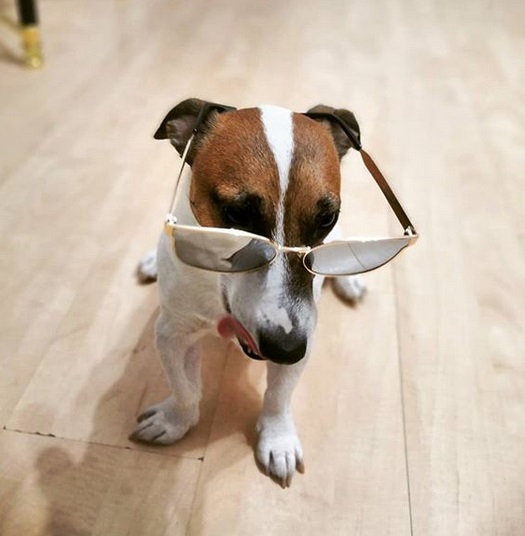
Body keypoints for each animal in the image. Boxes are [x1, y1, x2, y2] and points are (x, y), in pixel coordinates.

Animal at [130, 98, 366, 488]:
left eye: (326, 219)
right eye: (237, 214)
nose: (285, 349)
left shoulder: (303, 337)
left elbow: (278, 397)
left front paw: (278, 439)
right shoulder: (172, 333)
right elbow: (184, 389)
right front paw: (175, 421)